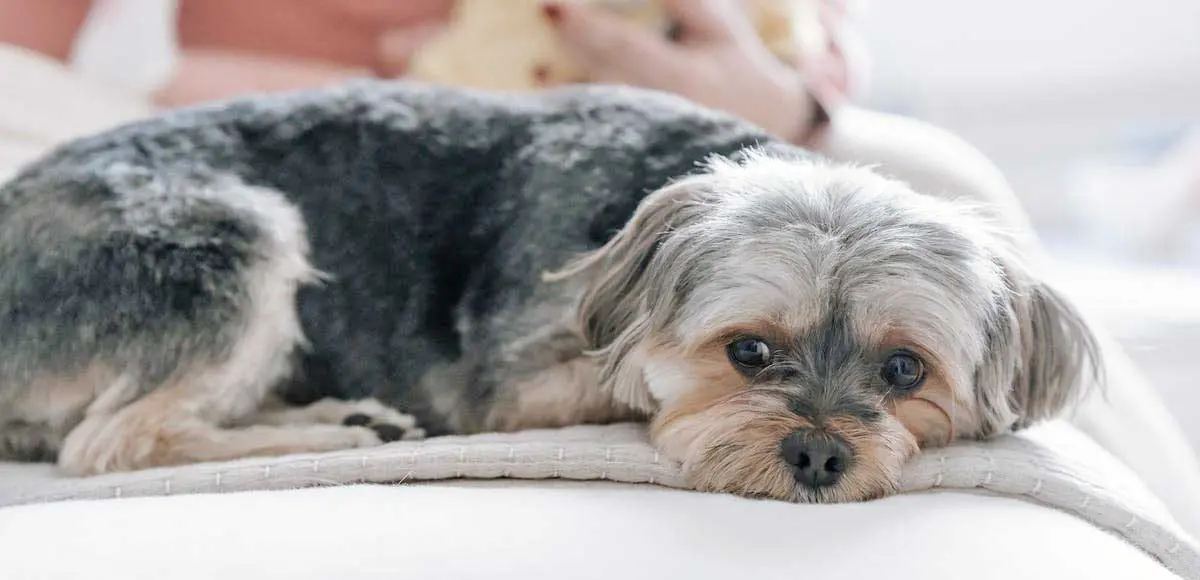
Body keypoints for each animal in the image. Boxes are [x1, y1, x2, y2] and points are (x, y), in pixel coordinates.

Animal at [0, 81, 1099, 504]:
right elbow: (620, 380)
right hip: (226, 240)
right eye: (747, 350)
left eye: (907, 368)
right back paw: (332, 429)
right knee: (112, 441)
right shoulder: (514, 382)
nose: (820, 455)